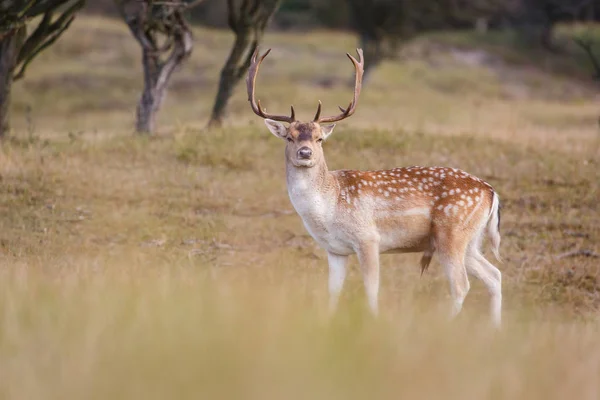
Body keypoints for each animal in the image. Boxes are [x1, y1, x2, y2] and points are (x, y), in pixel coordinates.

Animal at [246, 48, 504, 326]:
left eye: (319, 138)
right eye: (289, 137)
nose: (305, 152)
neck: (329, 207)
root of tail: (491, 192)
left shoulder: (368, 238)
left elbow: (371, 289)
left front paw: (372, 324)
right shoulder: (335, 250)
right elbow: (333, 291)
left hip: (452, 232)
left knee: (461, 285)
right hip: (471, 239)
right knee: (494, 275)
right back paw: (495, 329)